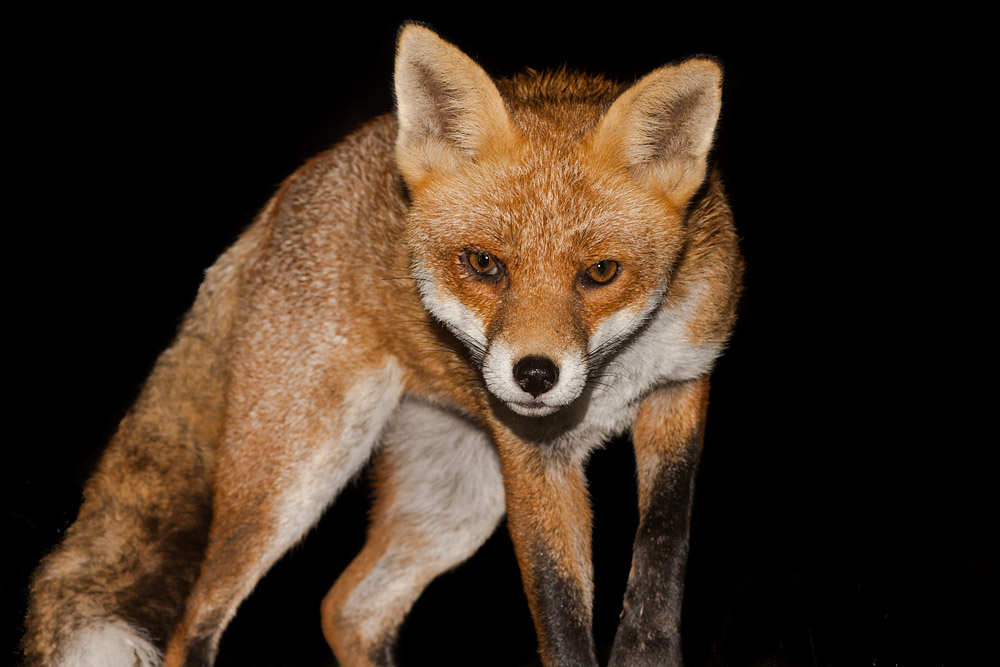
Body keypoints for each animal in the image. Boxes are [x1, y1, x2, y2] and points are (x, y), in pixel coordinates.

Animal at [22, 23, 742, 667]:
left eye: (601, 273)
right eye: (484, 264)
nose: (534, 375)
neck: (615, 374)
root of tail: (293, 188)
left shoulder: (682, 384)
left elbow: (663, 543)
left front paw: (648, 651)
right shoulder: (534, 452)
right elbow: (561, 609)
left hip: (454, 501)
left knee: (349, 608)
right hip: (290, 473)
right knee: (197, 620)